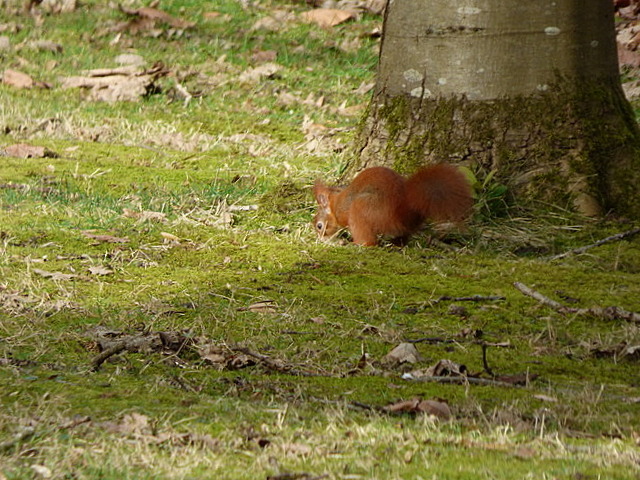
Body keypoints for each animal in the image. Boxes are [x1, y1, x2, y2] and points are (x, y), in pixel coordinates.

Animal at [312, 164, 473, 246]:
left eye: (319, 226)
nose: (320, 239)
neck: (335, 203)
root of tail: (400, 214)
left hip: (360, 209)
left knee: (368, 241)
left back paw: (354, 244)